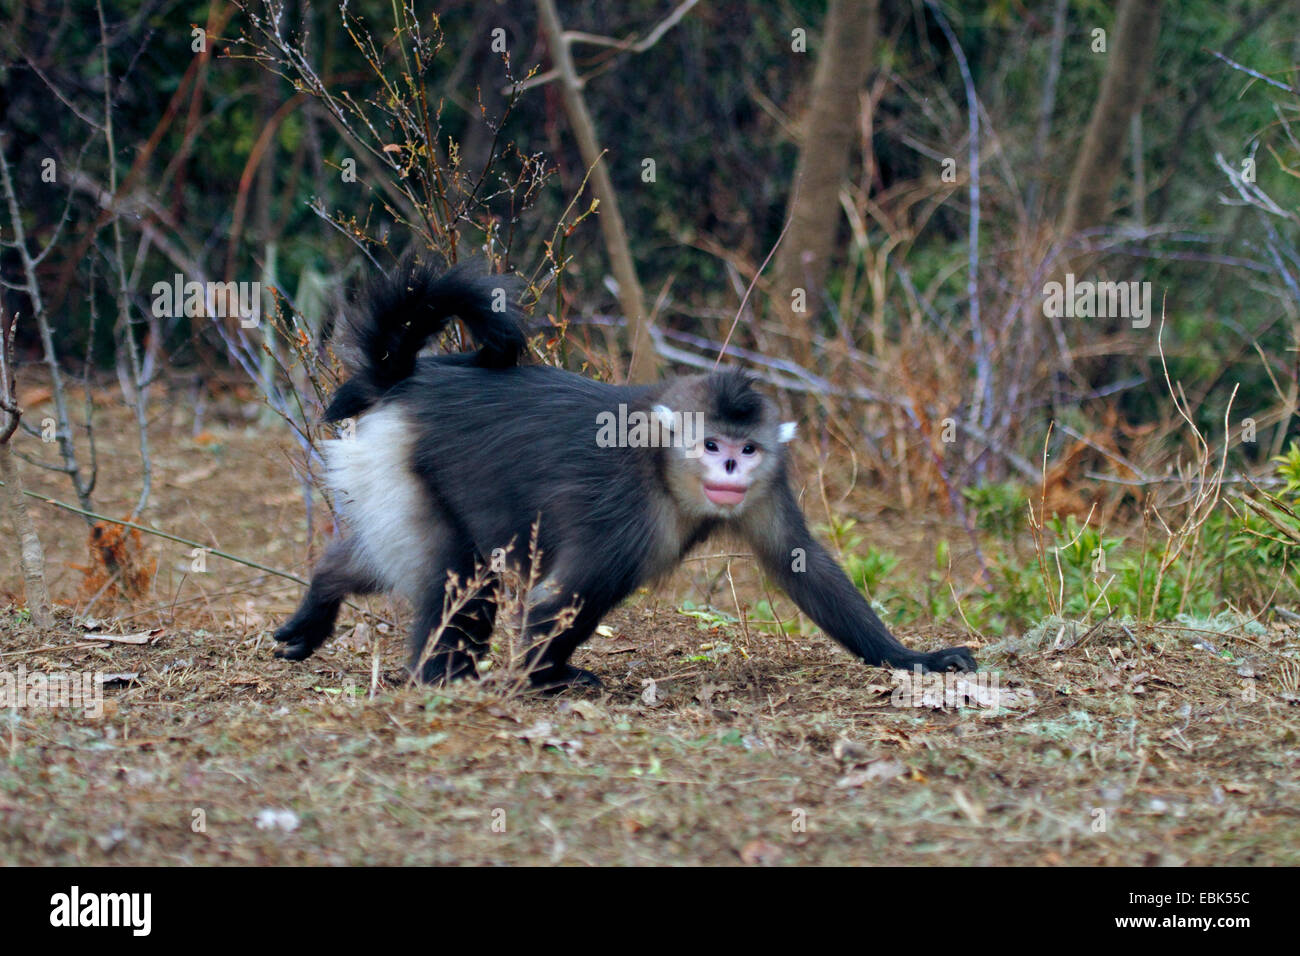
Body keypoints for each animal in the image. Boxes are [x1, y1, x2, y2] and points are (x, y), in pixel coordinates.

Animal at [273, 258, 977, 690]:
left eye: (747, 450)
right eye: (711, 443)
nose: (728, 466)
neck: (664, 468)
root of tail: (397, 380)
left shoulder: (764, 490)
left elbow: (803, 568)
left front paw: (915, 658)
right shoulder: (625, 514)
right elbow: (563, 599)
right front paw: (540, 682)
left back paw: (318, 603)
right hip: (399, 463)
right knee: (459, 569)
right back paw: (437, 677)